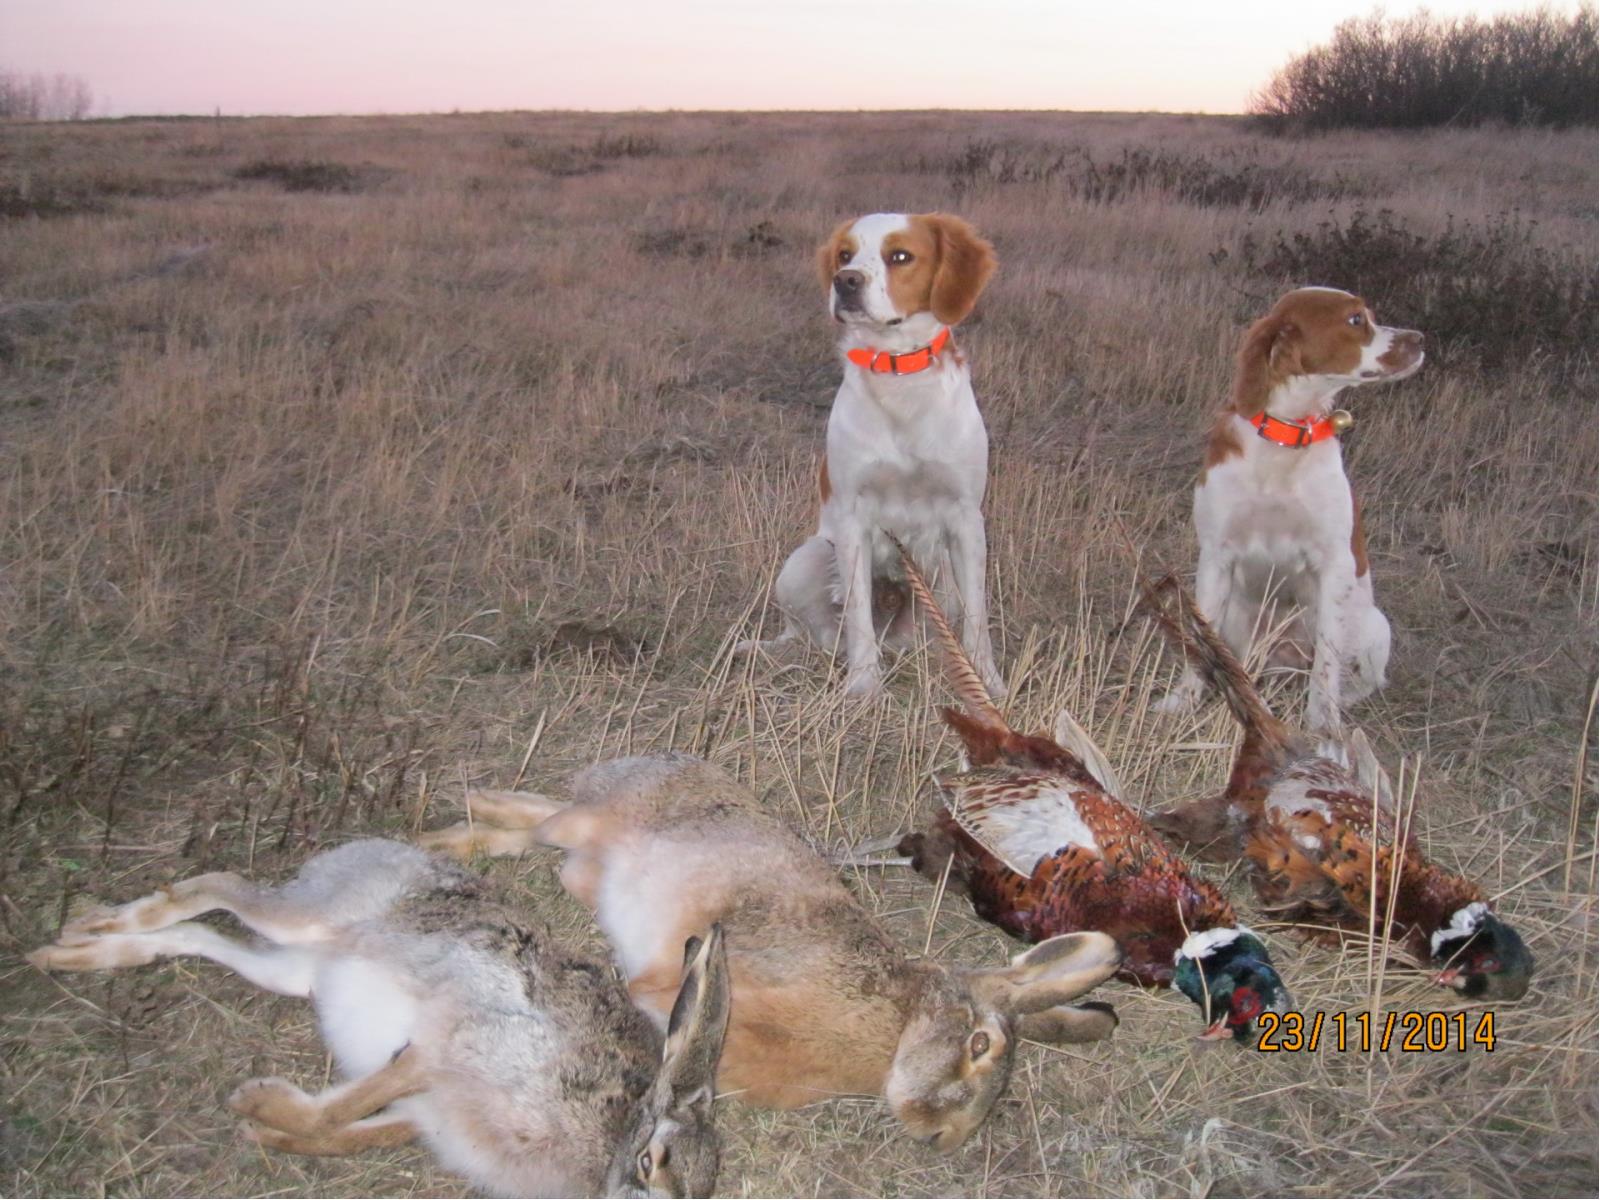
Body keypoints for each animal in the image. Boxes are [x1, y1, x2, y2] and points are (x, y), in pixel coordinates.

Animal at [741, 212, 1003, 700]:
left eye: (900, 256)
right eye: (845, 254)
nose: (845, 281)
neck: (898, 378)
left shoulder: (965, 518)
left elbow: (979, 619)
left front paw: (986, 683)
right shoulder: (853, 518)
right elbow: (858, 616)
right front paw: (863, 687)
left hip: (940, 580)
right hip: (805, 561)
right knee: (820, 635)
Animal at [1159, 287, 1424, 732]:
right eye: (1356, 319)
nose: (1420, 338)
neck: (1287, 437)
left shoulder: (1334, 564)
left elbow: (1326, 667)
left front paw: (1323, 725)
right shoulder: (1215, 556)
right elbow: (1200, 646)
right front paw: (1184, 699)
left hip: (1375, 626)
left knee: (1358, 680)